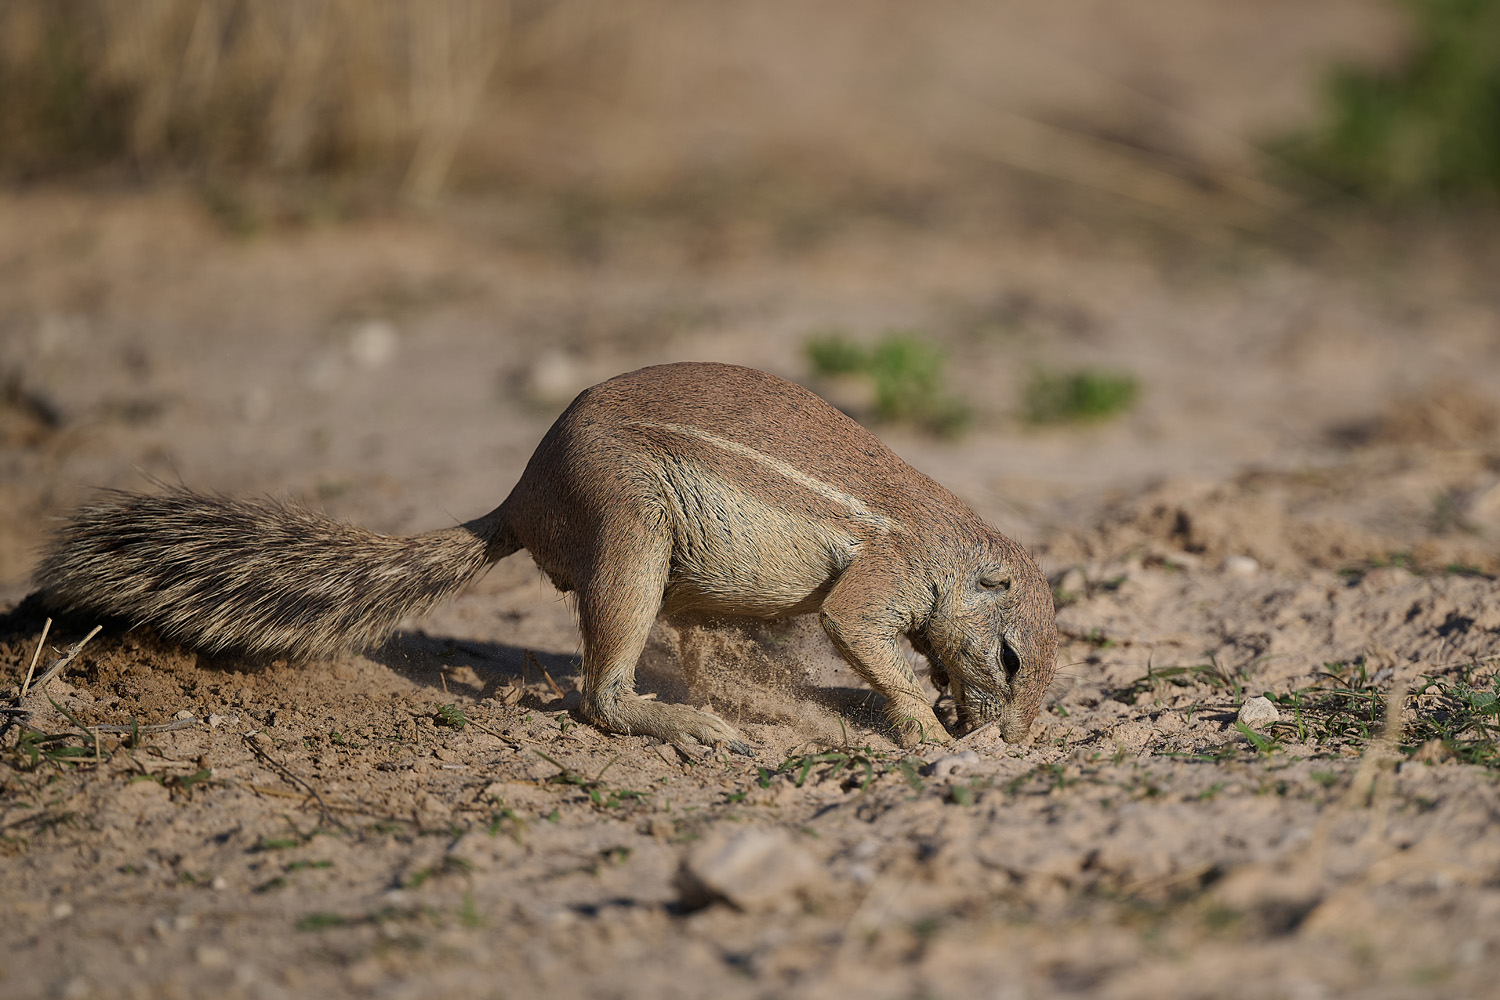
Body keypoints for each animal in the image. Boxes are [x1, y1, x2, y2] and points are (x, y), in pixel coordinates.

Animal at [34, 362, 1057, 752]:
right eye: (1012, 658)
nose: (1016, 741)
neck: (950, 547)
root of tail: (520, 500)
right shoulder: (882, 578)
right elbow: (858, 628)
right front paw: (924, 726)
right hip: (631, 534)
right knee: (601, 696)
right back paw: (688, 725)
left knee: (705, 662)